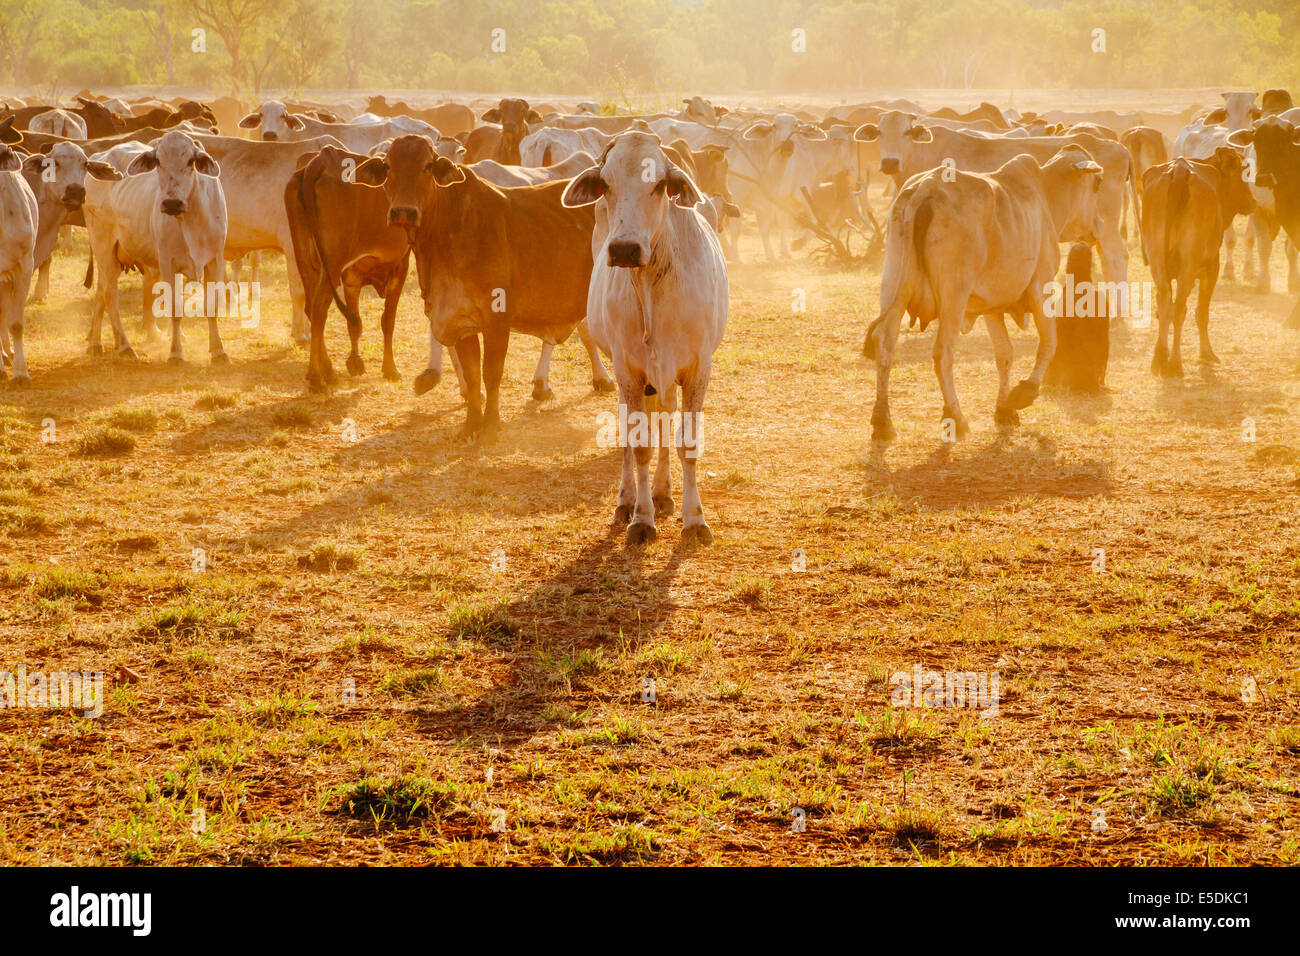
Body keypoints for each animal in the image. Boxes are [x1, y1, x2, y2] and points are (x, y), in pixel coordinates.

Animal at [286, 143, 408, 390]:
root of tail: (323, 158)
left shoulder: (352, 276)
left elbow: (355, 322)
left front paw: (355, 361)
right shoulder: (401, 265)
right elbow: (388, 320)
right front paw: (390, 368)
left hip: (306, 260)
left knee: (312, 308)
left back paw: (328, 371)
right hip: (331, 264)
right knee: (319, 310)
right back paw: (316, 377)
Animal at [356, 134, 598, 442]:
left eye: (427, 166)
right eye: (388, 166)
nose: (403, 212)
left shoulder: (497, 320)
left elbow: (491, 372)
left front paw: (492, 423)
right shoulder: (459, 321)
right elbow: (471, 375)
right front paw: (471, 423)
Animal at [561, 130, 733, 546]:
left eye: (658, 185)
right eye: (605, 184)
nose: (624, 249)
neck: (654, 283)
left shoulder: (698, 368)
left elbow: (687, 442)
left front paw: (694, 518)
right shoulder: (629, 370)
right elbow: (639, 444)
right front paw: (641, 516)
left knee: (665, 420)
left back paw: (663, 492)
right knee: (630, 429)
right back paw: (628, 498)